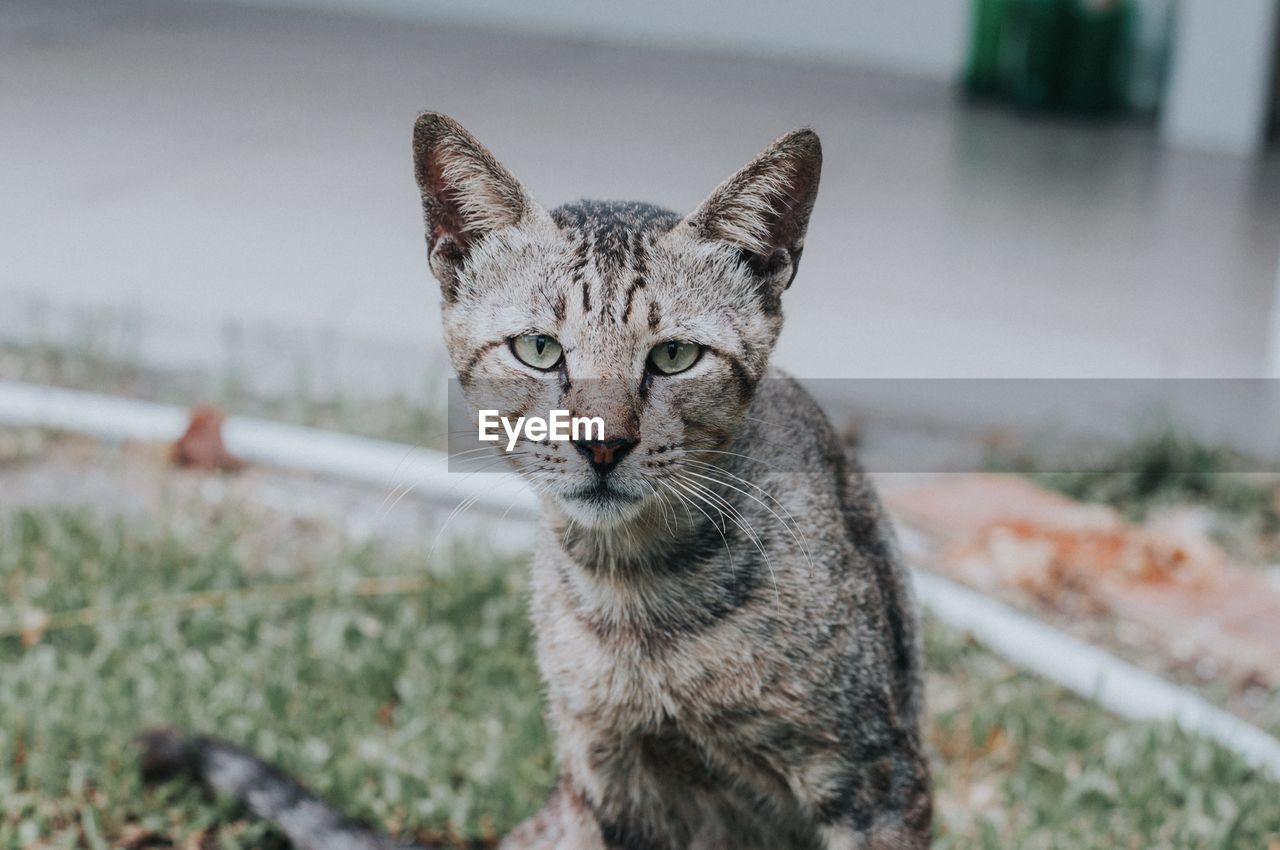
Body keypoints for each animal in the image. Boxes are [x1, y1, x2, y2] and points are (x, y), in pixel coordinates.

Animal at [142, 112, 931, 850]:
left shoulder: (876, 779)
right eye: (539, 350)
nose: (603, 443)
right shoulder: (610, 780)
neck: (638, 595)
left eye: (674, 356)